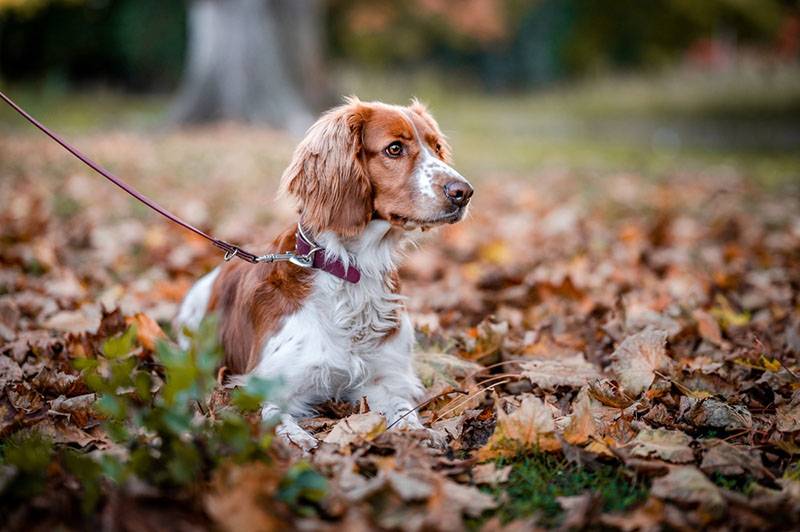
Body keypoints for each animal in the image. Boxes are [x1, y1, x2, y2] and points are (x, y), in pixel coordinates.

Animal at [175, 96, 472, 448]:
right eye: (395, 148)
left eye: (436, 147)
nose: (464, 192)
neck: (352, 270)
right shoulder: (258, 386)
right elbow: (272, 416)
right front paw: (297, 439)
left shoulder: (386, 378)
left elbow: (403, 410)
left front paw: (419, 433)